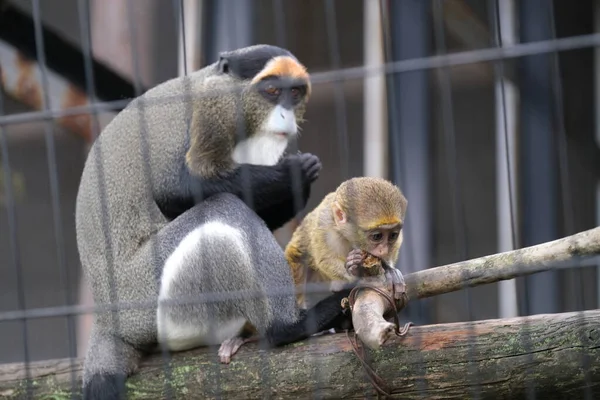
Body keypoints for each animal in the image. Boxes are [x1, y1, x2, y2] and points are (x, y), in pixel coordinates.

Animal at [78, 43, 354, 400]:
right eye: (272, 91)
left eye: (295, 93)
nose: (287, 115)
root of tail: (107, 320)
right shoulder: (202, 122)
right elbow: (173, 191)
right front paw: (291, 175)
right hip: (153, 299)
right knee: (222, 210)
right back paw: (287, 327)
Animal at [284, 177, 408, 324]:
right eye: (377, 236)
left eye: (392, 235)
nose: (383, 251)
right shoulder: (325, 225)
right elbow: (324, 259)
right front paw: (353, 270)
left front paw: (389, 269)